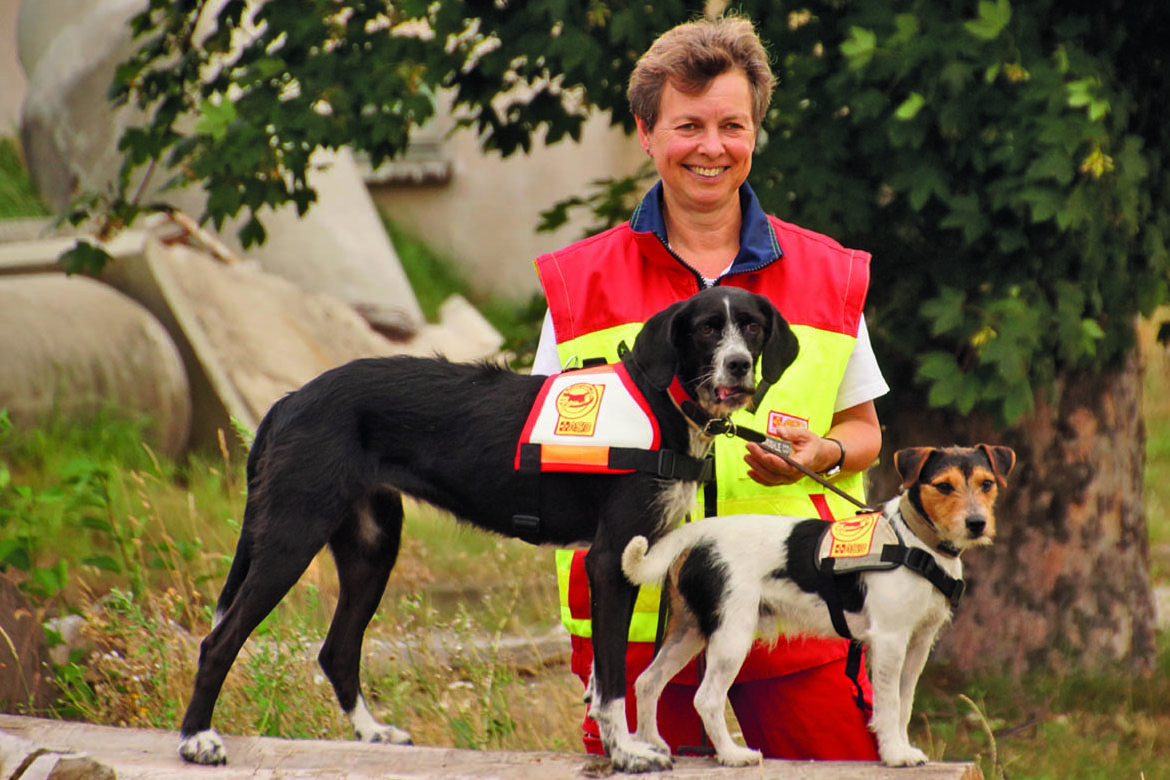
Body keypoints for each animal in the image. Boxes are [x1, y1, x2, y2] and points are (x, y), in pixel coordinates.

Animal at [175, 284, 795, 771]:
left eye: (752, 326)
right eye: (708, 328)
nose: (738, 365)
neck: (662, 403)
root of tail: (290, 399)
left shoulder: (642, 560)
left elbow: (607, 676)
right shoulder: (610, 560)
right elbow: (614, 677)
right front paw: (627, 754)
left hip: (372, 548)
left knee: (337, 649)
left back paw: (372, 732)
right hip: (291, 536)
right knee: (219, 640)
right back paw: (197, 740)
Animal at [622, 444, 1015, 767]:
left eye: (987, 484)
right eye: (944, 486)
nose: (977, 524)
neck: (914, 541)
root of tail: (699, 533)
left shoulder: (918, 643)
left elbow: (904, 704)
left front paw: (902, 747)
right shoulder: (890, 640)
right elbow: (888, 704)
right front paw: (893, 754)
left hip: (690, 631)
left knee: (647, 682)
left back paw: (653, 742)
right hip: (731, 637)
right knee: (706, 698)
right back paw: (732, 755)